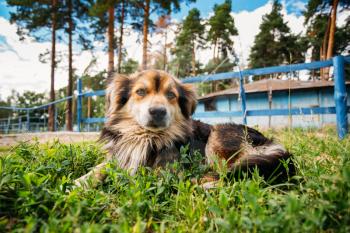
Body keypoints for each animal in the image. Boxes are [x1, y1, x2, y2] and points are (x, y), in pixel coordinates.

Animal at [74, 69, 296, 187]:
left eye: (171, 95)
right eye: (141, 92)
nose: (158, 111)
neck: (146, 137)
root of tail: (269, 143)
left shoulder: (167, 170)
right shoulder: (119, 156)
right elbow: (101, 167)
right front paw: (81, 181)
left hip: (217, 136)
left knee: (228, 174)